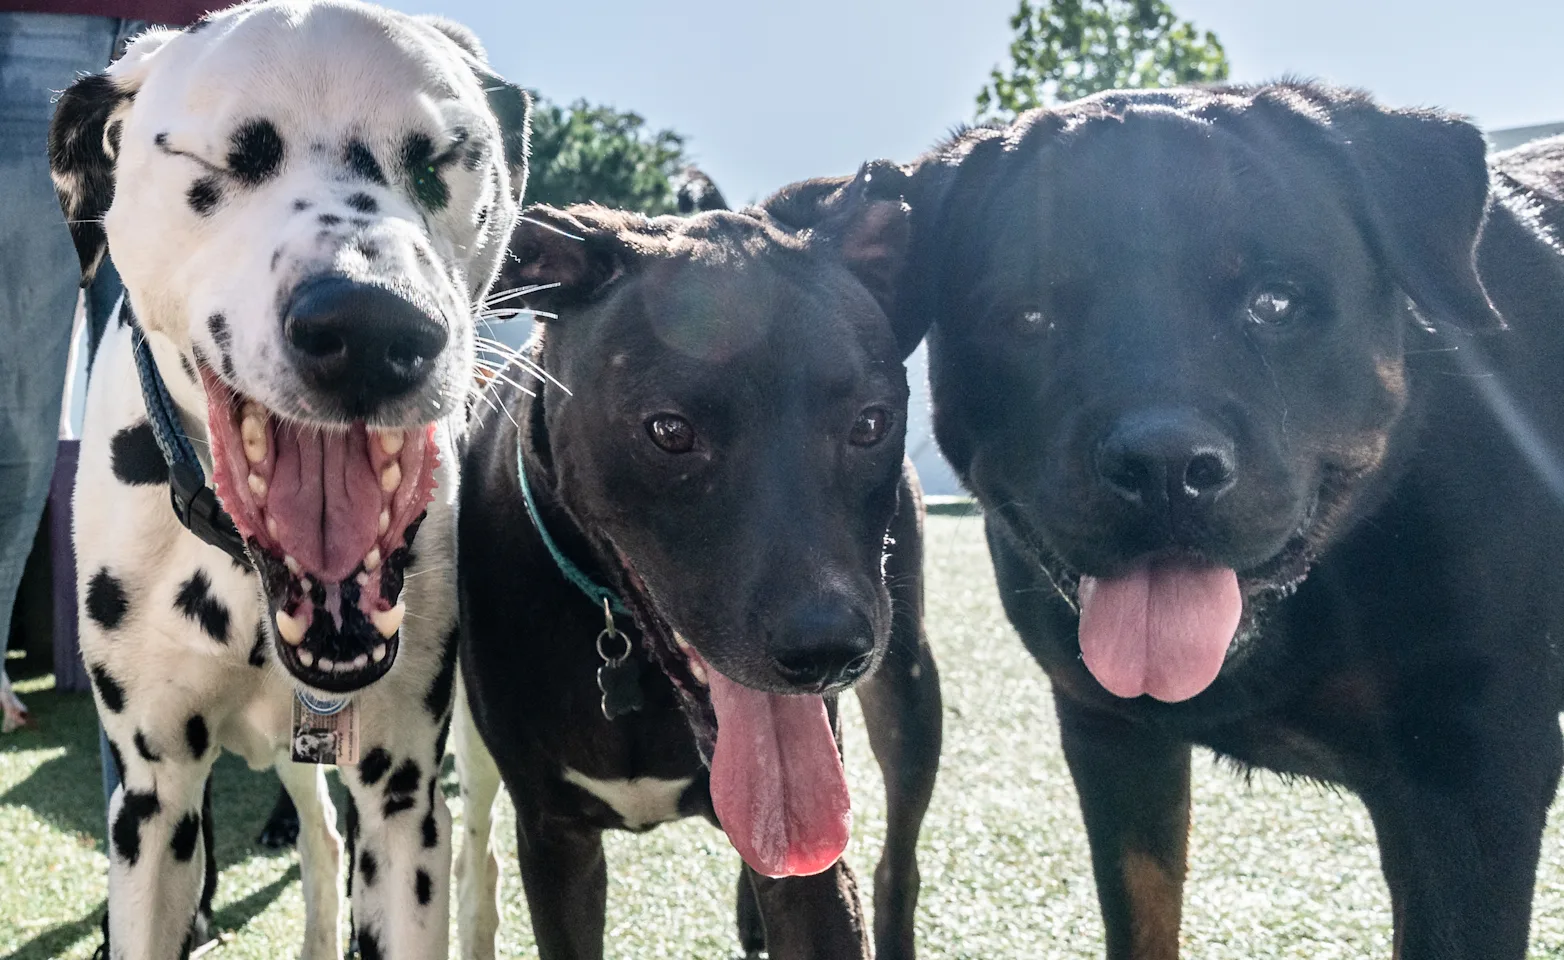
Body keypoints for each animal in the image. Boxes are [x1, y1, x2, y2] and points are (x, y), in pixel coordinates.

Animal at [48, 3, 531, 956]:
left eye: (442, 158)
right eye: (223, 162)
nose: (374, 327)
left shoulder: (403, 798)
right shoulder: (152, 803)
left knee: (481, 851)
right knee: (319, 833)